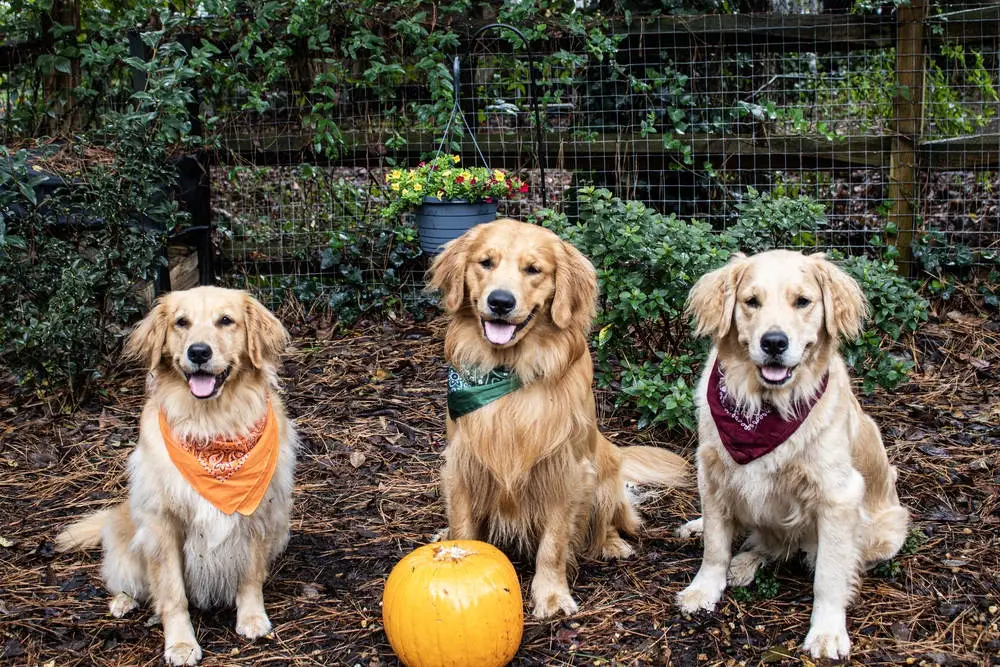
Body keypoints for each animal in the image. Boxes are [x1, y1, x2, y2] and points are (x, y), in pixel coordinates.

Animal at [55, 288, 296, 667]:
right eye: (182, 322)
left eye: (225, 320)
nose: (198, 352)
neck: (212, 425)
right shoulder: (161, 525)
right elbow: (172, 594)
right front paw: (181, 643)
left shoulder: (260, 512)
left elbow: (250, 576)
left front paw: (252, 617)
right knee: (125, 578)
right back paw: (123, 601)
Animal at [430, 220, 688, 620]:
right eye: (485, 262)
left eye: (534, 269)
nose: (500, 301)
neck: (510, 374)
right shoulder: (462, 464)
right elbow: (463, 526)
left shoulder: (566, 472)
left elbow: (553, 545)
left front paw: (551, 595)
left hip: (603, 475)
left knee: (613, 521)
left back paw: (612, 544)